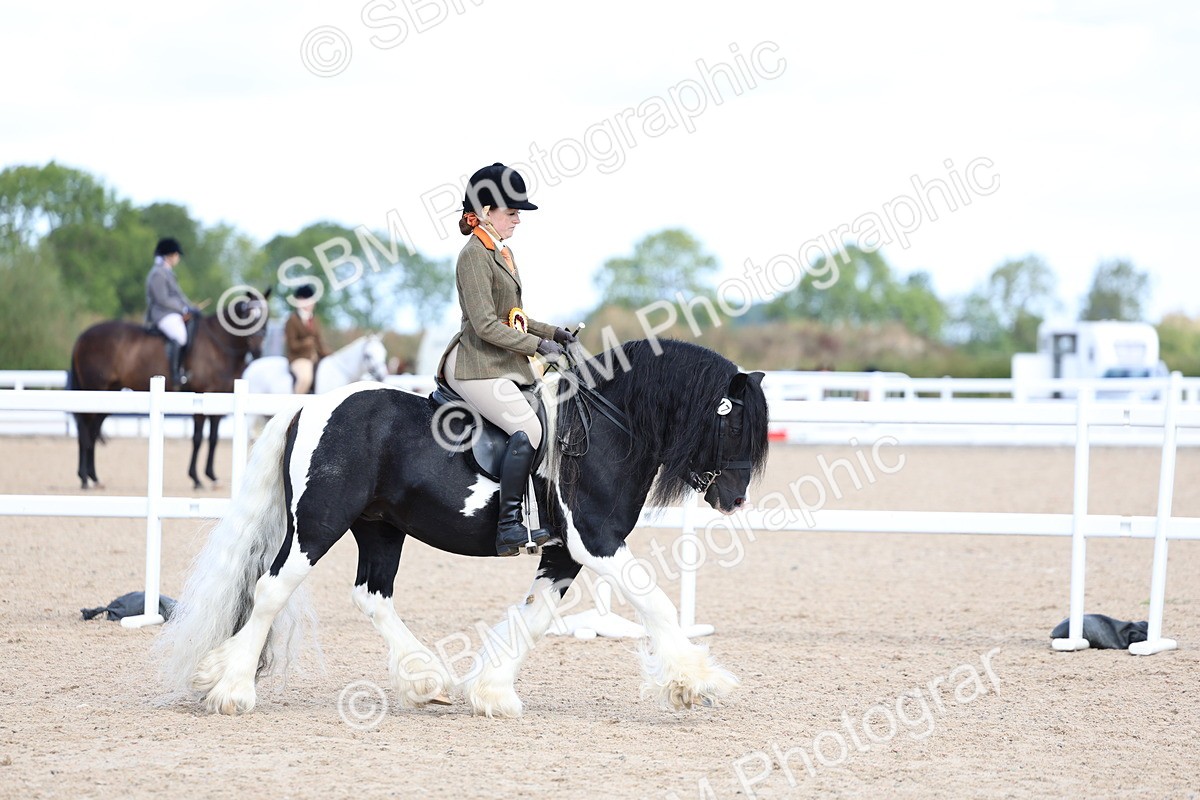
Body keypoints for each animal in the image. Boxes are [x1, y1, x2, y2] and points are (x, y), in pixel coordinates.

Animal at [68, 290, 270, 490]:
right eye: (248, 315)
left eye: (266, 315)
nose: (258, 351)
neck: (218, 346)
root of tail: (82, 337)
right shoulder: (200, 396)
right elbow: (197, 438)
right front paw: (196, 478)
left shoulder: (221, 397)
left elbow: (213, 438)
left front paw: (212, 476)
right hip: (93, 391)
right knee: (85, 430)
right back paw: (84, 478)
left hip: (109, 394)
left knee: (93, 432)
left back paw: (94, 478)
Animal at [157, 338, 769, 718]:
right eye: (733, 422)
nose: (735, 500)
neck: (607, 429)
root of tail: (308, 408)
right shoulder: (596, 543)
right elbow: (655, 602)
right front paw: (696, 683)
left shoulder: (563, 554)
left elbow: (535, 616)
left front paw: (493, 692)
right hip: (318, 523)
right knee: (271, 588)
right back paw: (233, 688)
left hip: (379, 528)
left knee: (372, 595)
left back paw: (424, 681)